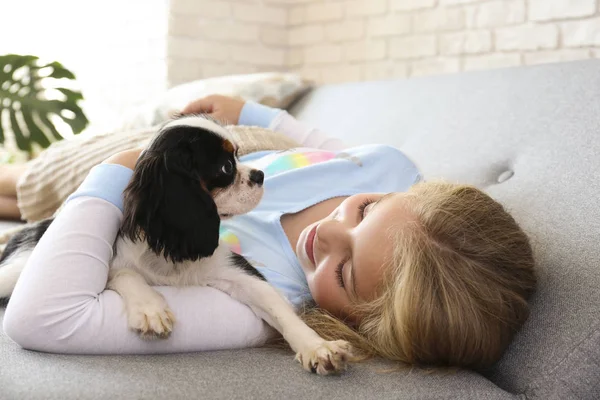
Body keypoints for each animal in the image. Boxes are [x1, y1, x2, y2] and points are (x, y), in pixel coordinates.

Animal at [0, 115, 352, 376]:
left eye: (239, 157)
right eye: (226, 167)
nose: (259, 174)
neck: (170, 248)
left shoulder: (237, 271)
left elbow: (277, 306)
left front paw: (317, 346)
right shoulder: (114, 261)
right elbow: (127, 275)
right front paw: (150, 309)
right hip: (15, 271)